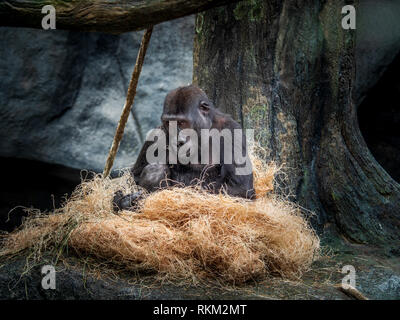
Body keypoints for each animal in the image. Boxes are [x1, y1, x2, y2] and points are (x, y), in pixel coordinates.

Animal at [112, 84, 255, 212]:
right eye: (169, 123)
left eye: (181, 123)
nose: (178, 141)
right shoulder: (156, 134)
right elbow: (133, 176)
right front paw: (124, 201)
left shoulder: (231, 130)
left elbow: (239, 188)